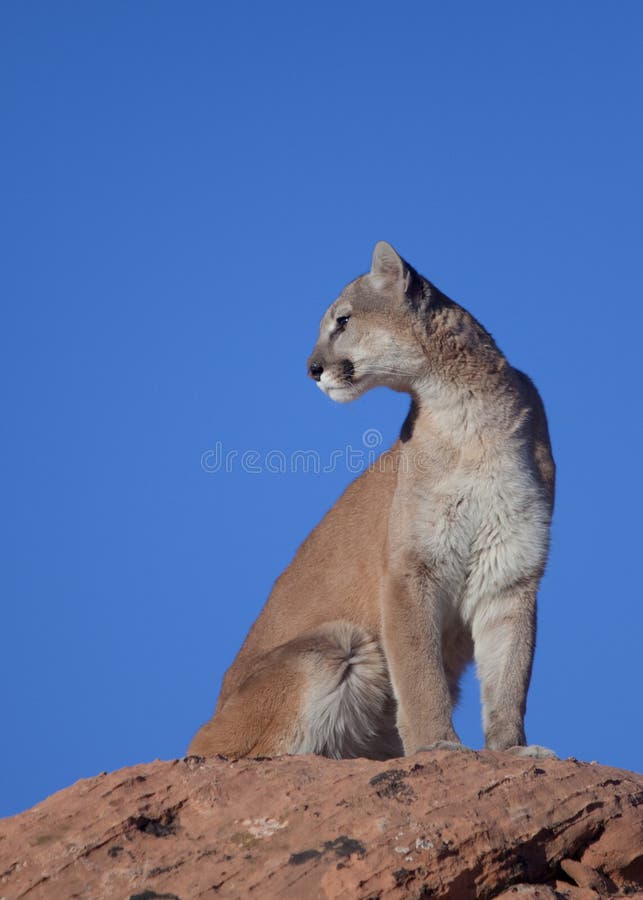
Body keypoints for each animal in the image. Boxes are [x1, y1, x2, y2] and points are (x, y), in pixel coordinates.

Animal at [189, 244, 556, 760]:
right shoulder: (410, 570)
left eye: (343, 320)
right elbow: (420, 674)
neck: (467, 414)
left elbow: (508, 677)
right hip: (336, 644)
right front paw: (437, 745)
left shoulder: (512, 569)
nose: (311, 369)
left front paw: (510, 750)